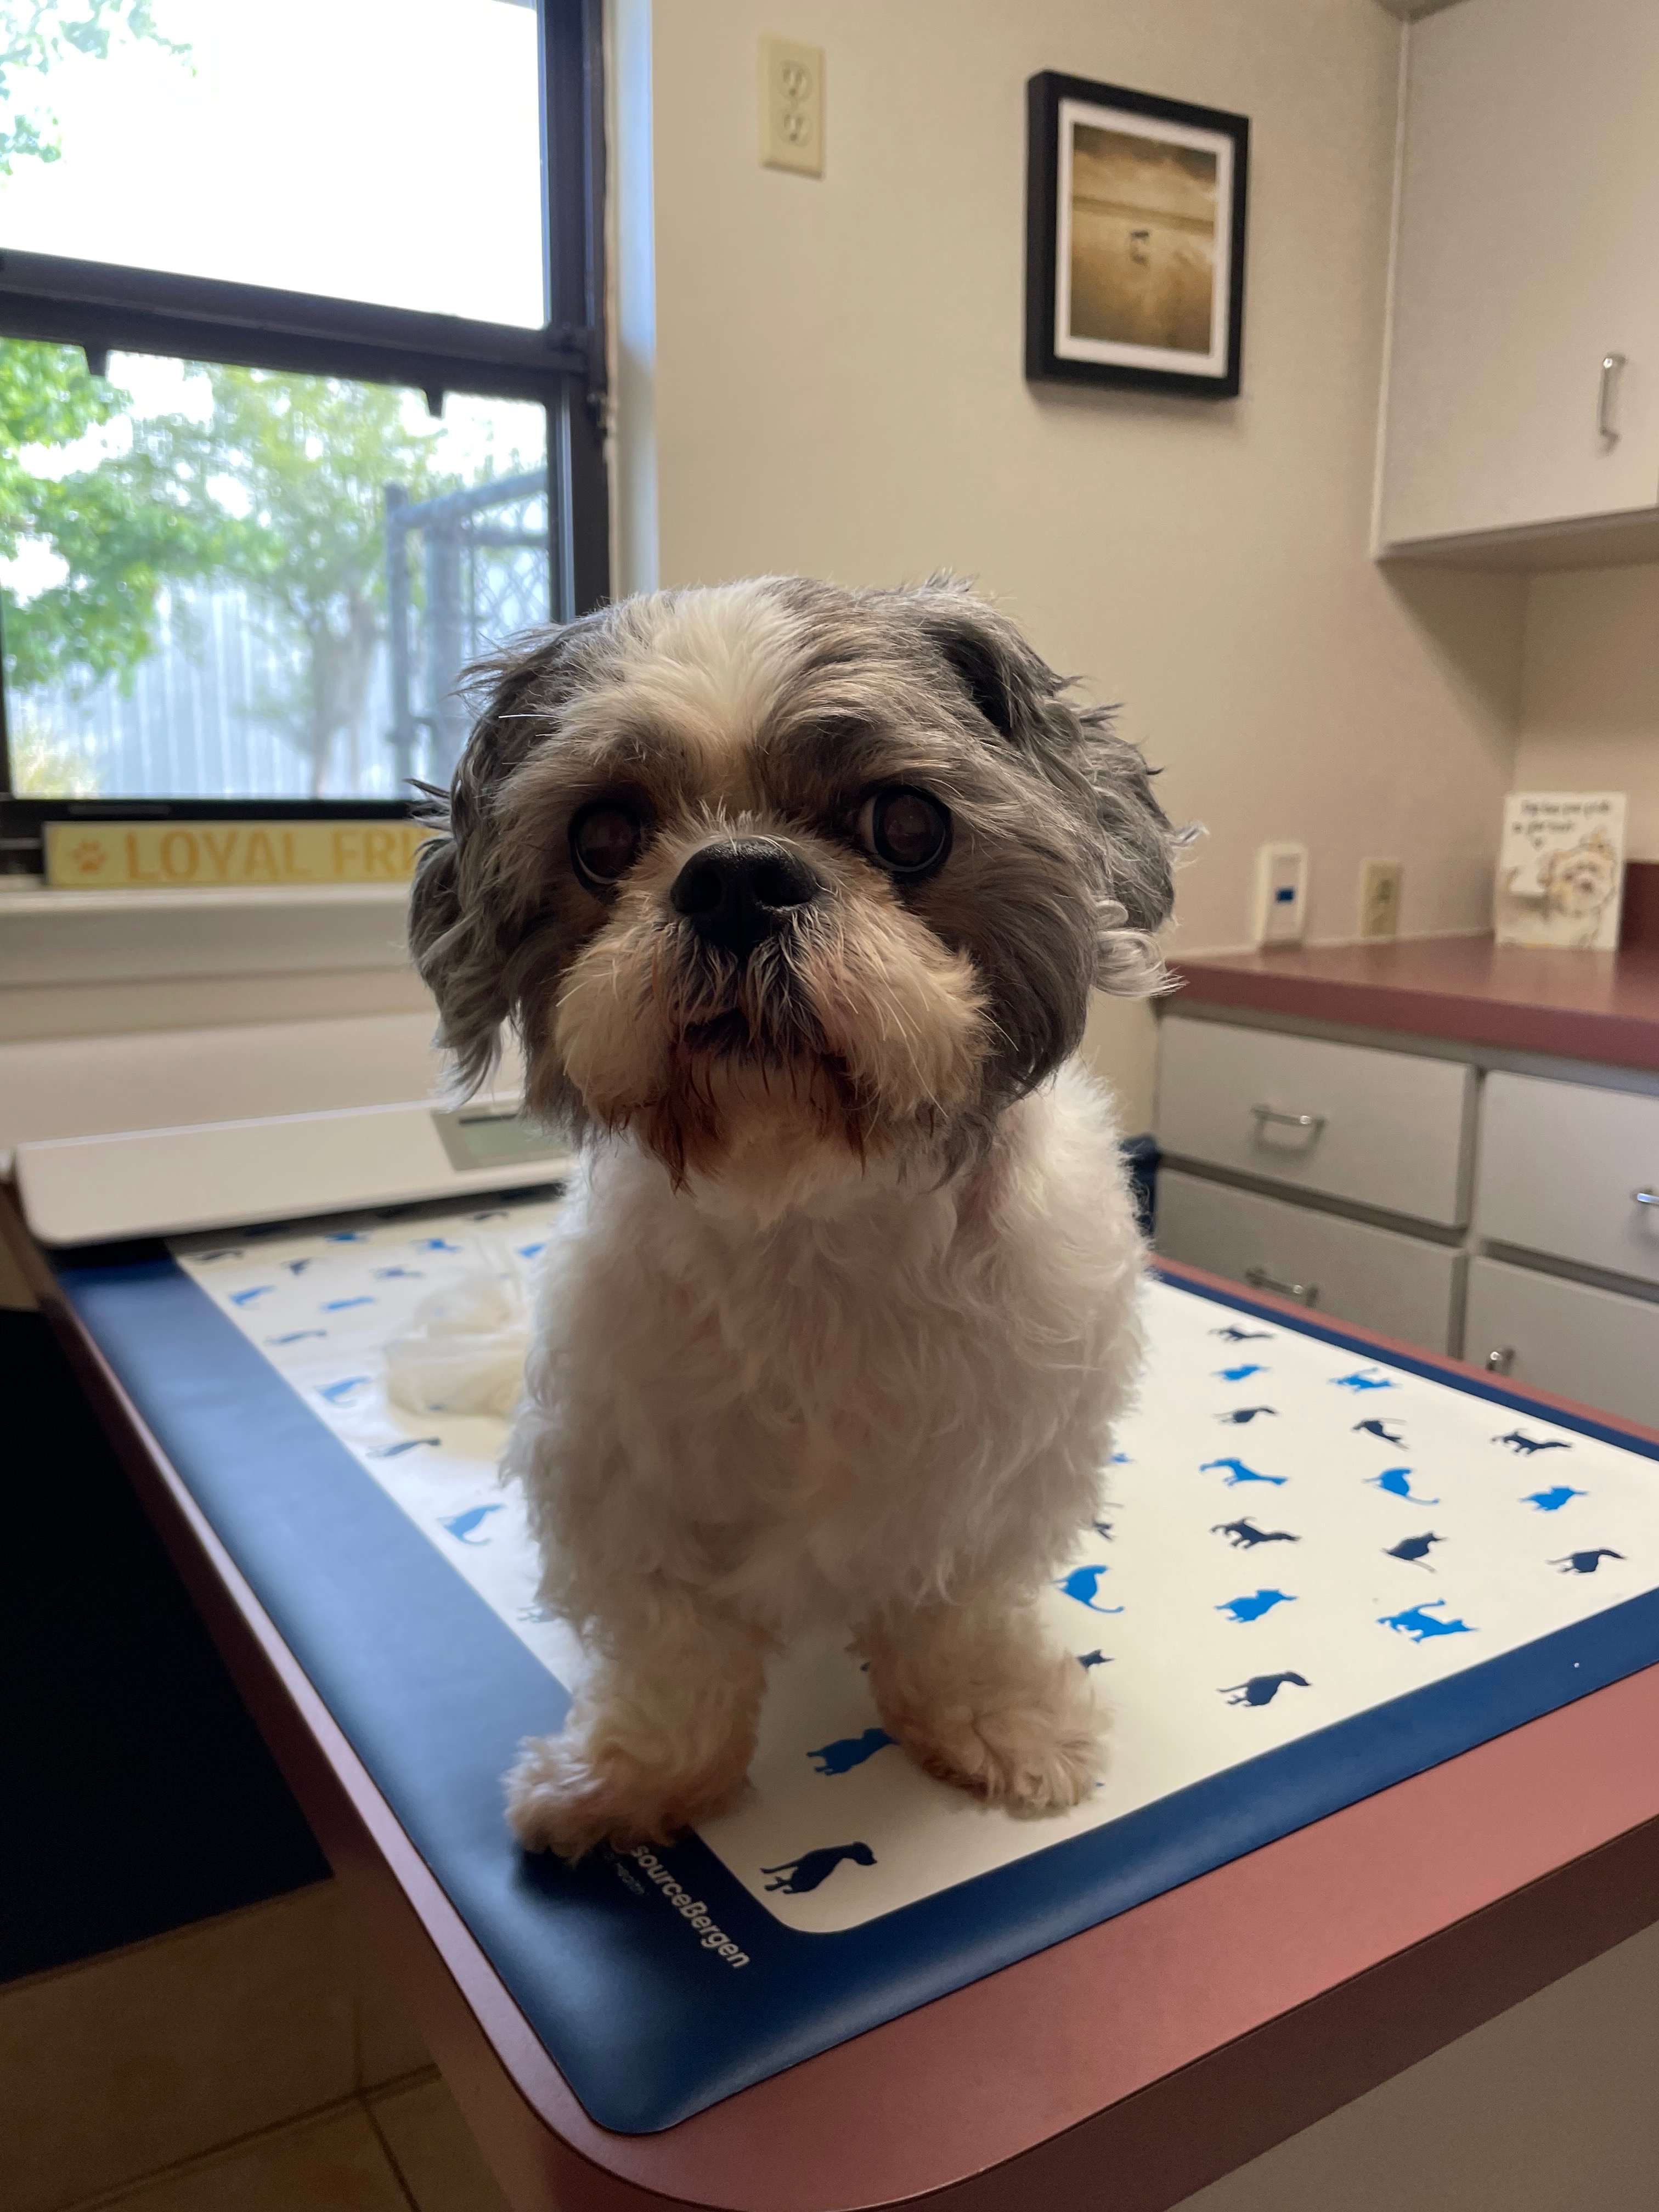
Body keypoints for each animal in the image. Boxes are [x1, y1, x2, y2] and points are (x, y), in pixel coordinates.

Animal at [408, 575, 1183, 1857]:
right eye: (603, 837)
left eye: (908, 824)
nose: (732, 876)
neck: (811, 1210)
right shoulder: (623, 1481)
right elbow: (673, 1655)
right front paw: (636, 1781)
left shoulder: (990, 1479)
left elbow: (958, 1618)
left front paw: (993, 1721)